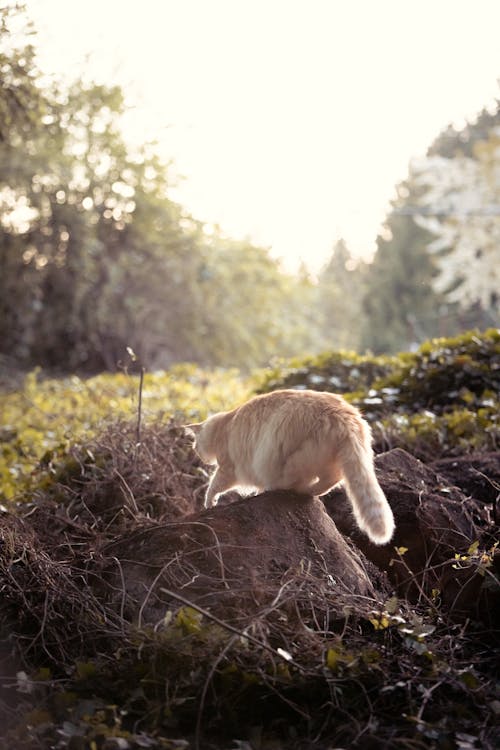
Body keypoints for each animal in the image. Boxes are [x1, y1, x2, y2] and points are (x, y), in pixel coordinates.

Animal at [187, 388, 394, 548]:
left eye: (195, 446)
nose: (198, 455)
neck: (224, 424)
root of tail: (344, 415)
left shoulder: (228, 469)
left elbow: (213, 486)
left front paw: (209, 503)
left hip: (290, 457)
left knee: (298, 481)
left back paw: (289, 488)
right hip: (333, 459)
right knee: (331, 480)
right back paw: (310, 491)